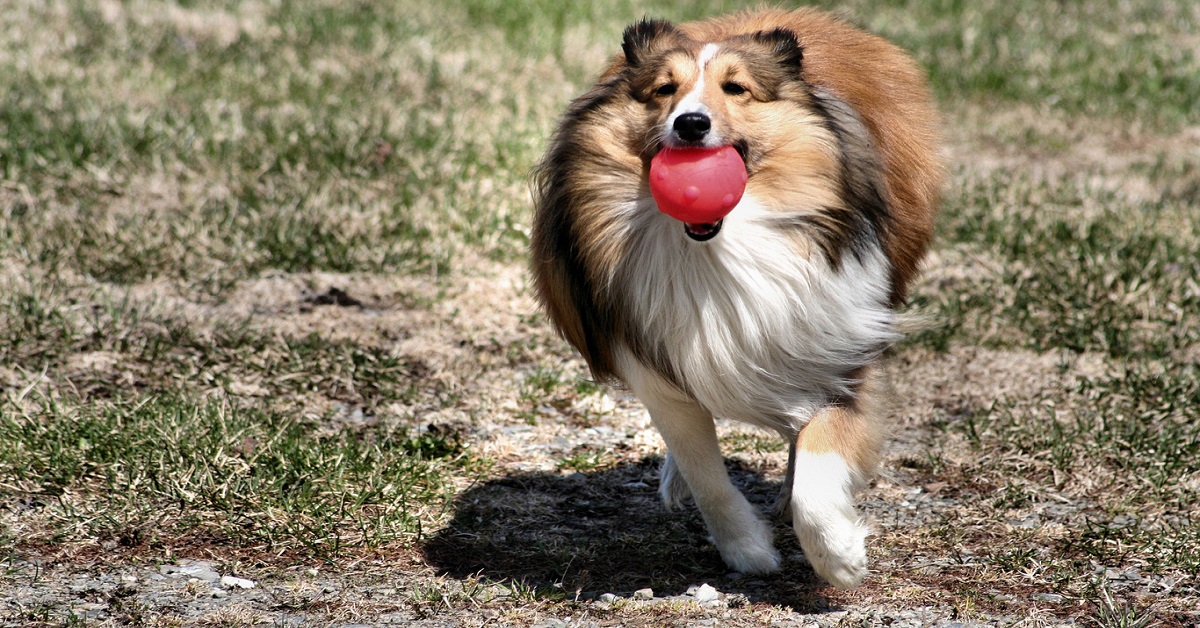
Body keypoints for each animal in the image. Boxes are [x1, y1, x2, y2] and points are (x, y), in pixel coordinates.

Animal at [530, 8, 940, 590]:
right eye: (664, 89)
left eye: (736, 88)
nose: (691, 124)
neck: (719, 250)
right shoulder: (655, 365)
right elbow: (706, 473)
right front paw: (747, 549)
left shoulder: (842, 348)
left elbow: (817, 461)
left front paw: (838, 556)